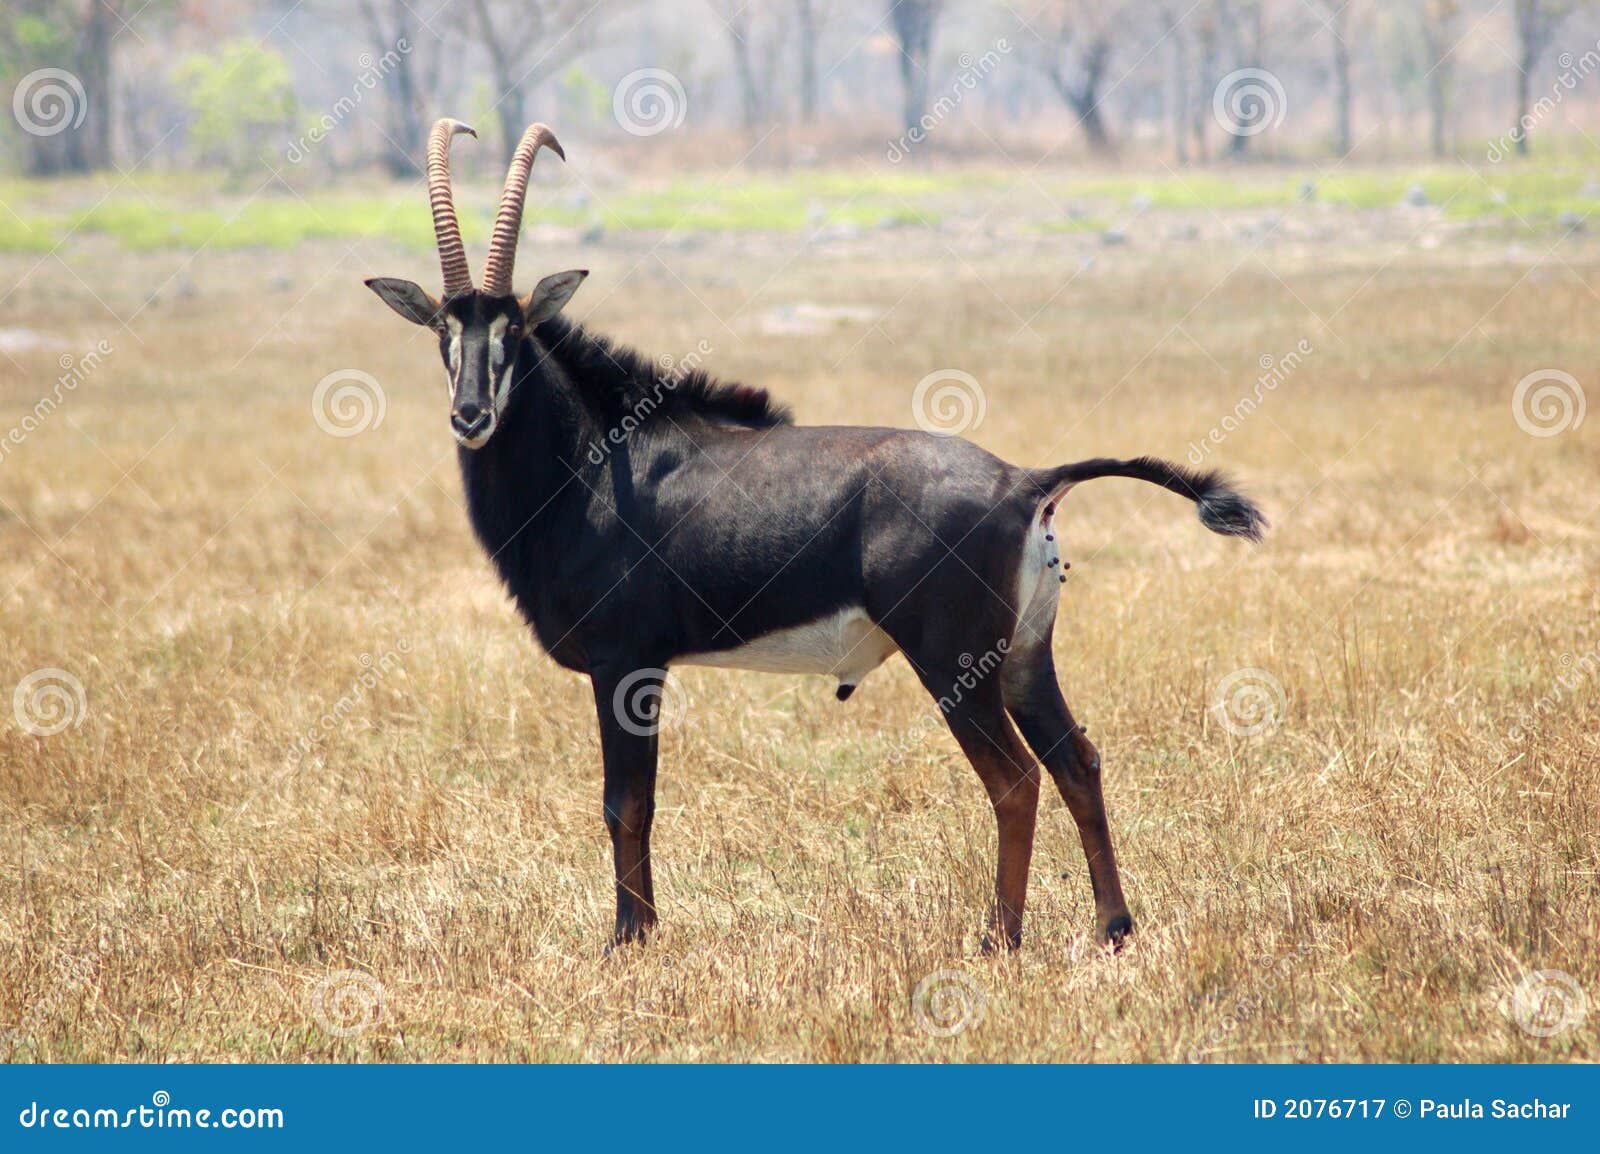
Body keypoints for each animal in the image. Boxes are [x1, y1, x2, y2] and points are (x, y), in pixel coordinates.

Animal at [368, 116, 1267, 947]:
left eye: (513, 330)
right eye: (442, 331)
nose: (471, 414)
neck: (593, 459)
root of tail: (1025, 481)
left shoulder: (628, 666)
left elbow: (627, 802)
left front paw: (632, 937)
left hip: (955, 663)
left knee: (1014, 781)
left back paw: (998, 938)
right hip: (1022, 658)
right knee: (1077, 760)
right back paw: (1112, 925)